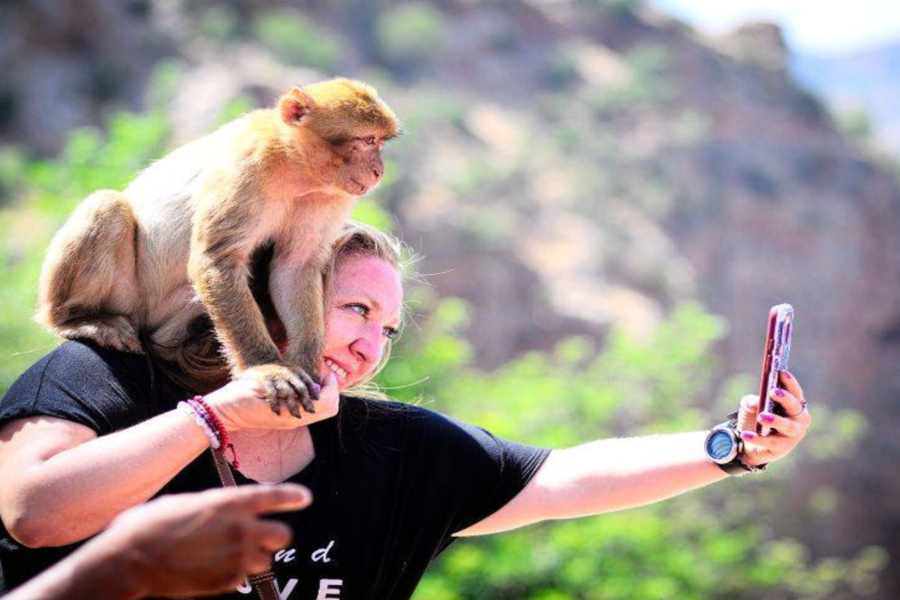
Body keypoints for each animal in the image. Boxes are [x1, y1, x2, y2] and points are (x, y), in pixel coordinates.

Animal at [36, 78, 400, 417]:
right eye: (368, 141)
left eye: (380, 142)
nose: (379, 171)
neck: (297, 168)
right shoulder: (247, 169)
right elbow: (217, 259)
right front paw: (266, 369)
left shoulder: (331, 196)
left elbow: (296, 266)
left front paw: (307, 365)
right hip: (126, 299)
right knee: (108, 206)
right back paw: (76, 319)